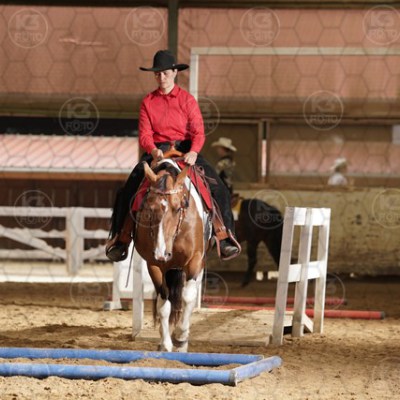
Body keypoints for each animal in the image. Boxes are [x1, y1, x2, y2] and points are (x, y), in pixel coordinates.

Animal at [134, 159, 211, 352]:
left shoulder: (195, 260)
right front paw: (166, 343)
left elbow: (188, 297)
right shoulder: (154, 264)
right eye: (149, 209)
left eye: (178, 208)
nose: (162, 253)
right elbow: (164, 304)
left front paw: (180, 336)